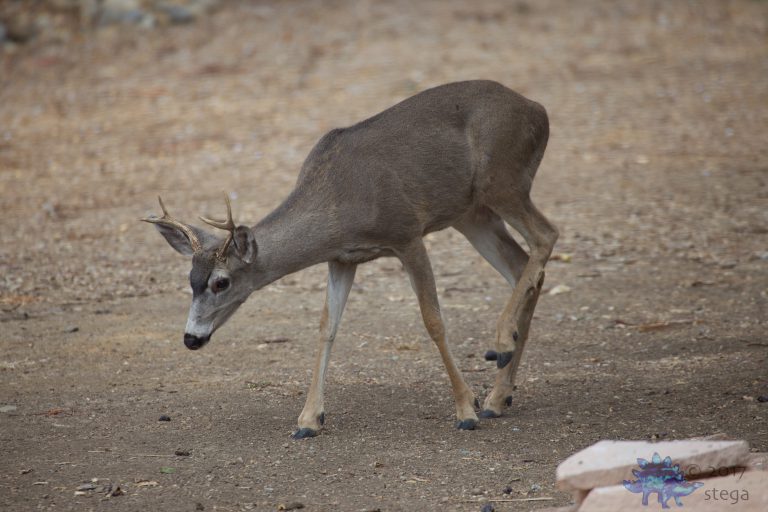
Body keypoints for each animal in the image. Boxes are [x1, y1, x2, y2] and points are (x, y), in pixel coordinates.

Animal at [142, 80, 558, 439]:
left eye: (221, 281)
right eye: (190, 280)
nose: (191, 338)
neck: (340, 206)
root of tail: (537, 109)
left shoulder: (407, 234)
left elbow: (433, 320)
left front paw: (465, 409)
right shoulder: (342, 258)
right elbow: (327, 326)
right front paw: (309, 419)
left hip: (502, 180)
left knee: (546, 235)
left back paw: (500, 348)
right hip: (470, 213)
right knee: (521, 265)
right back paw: (499, 394)